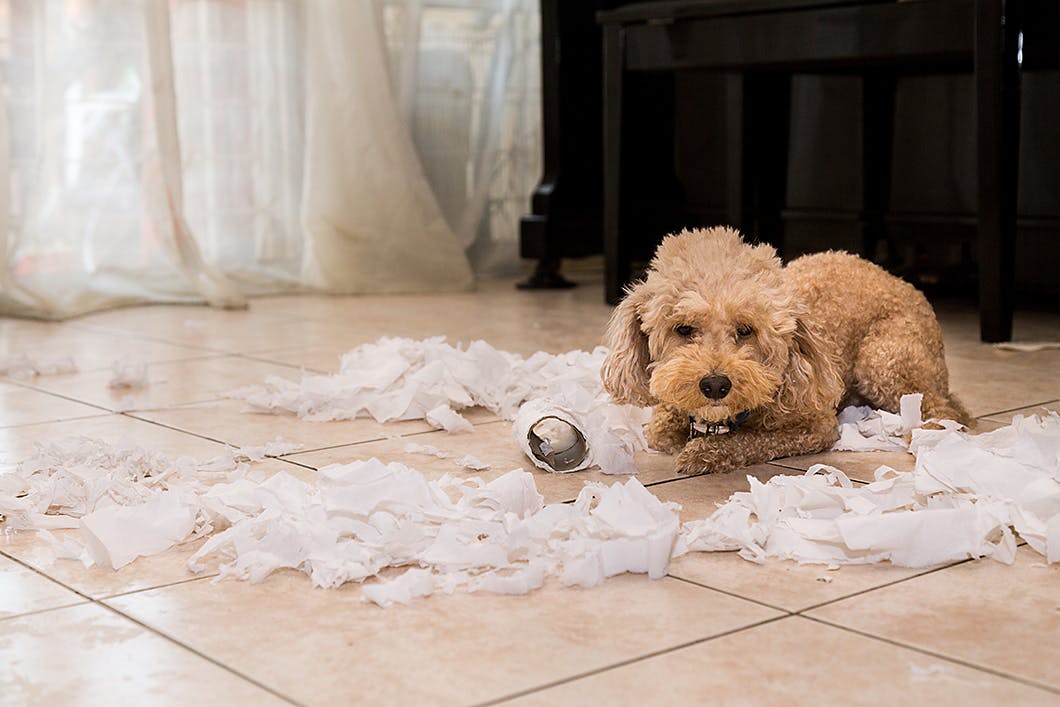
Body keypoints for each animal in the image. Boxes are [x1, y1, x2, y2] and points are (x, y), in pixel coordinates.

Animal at [597, 226, 970, 474]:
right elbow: (661, 430)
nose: (715, 384)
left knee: (945, 409)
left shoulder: (816, 426)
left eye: (745, 329)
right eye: (684, 329)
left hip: (883, 359)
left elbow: (752, 439)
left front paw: (706, 451)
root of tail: (906, 284)